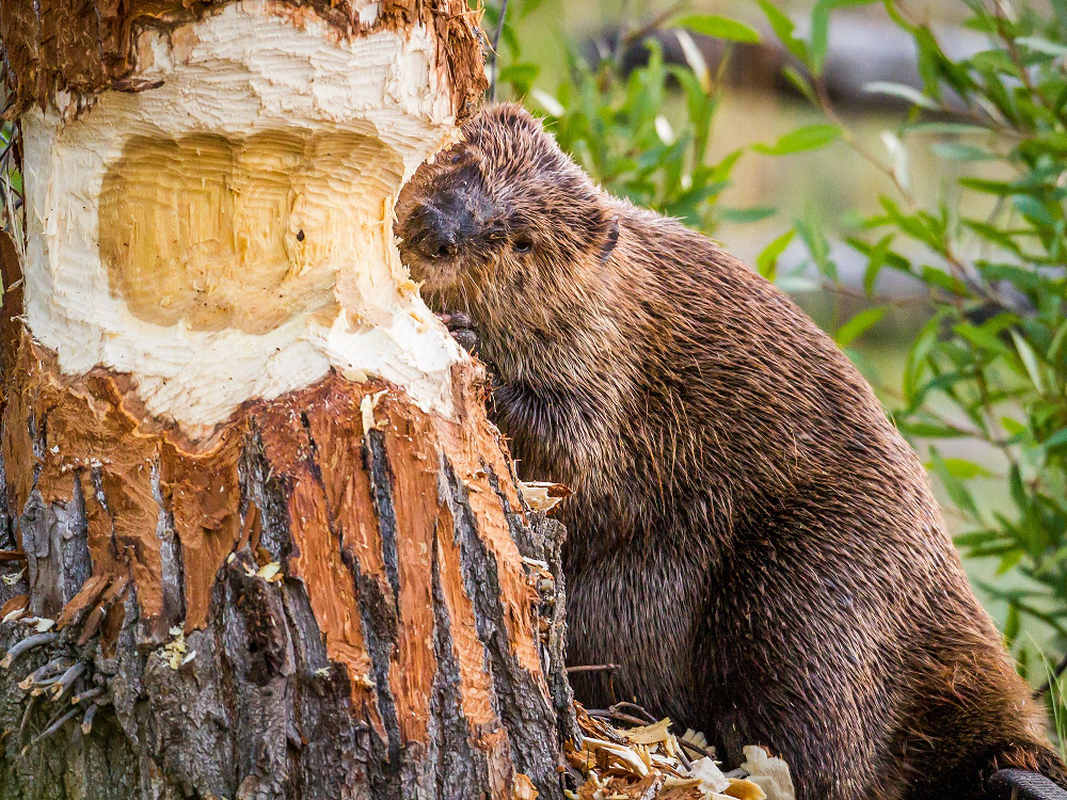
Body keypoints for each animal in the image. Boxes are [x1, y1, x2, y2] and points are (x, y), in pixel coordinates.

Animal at [396, 106, 1067, 800]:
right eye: (458, 159)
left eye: (521, 239)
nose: (437, 230)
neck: (620, 288)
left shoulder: (614, 357)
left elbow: (579, 449)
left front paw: (469, 341)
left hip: (810, 589)